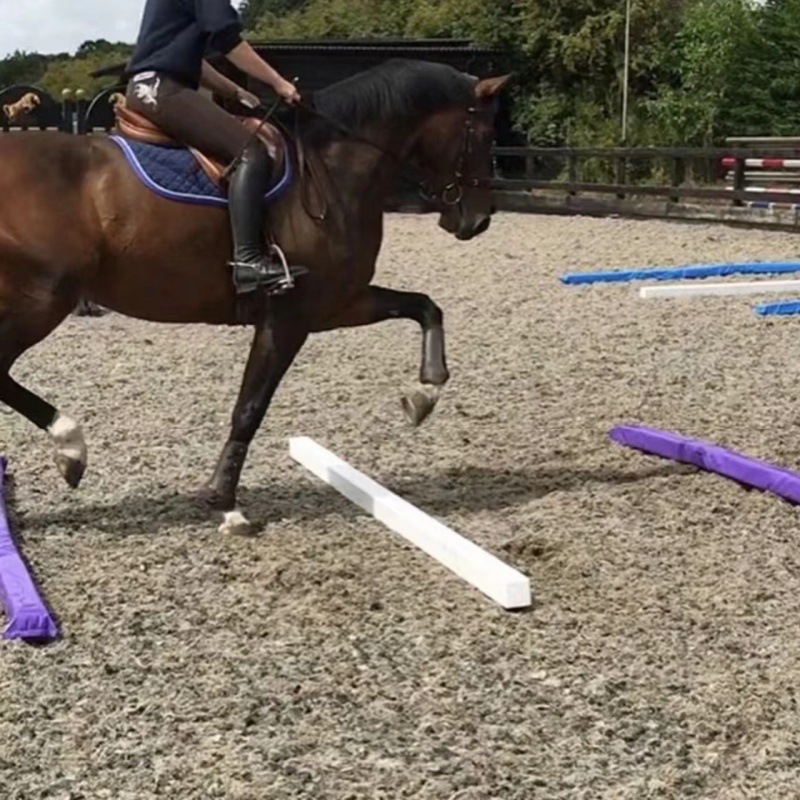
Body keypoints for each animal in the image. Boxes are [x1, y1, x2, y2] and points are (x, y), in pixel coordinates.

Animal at [0, 58, 510, 535]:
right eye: (486, 133)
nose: (479, 219)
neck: (333, 169)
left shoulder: (337, 303)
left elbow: (424, 306)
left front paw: (424, 392)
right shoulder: (288, 318)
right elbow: (250, 407)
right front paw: (225, 502)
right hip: (41, 301)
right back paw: (71, 447)